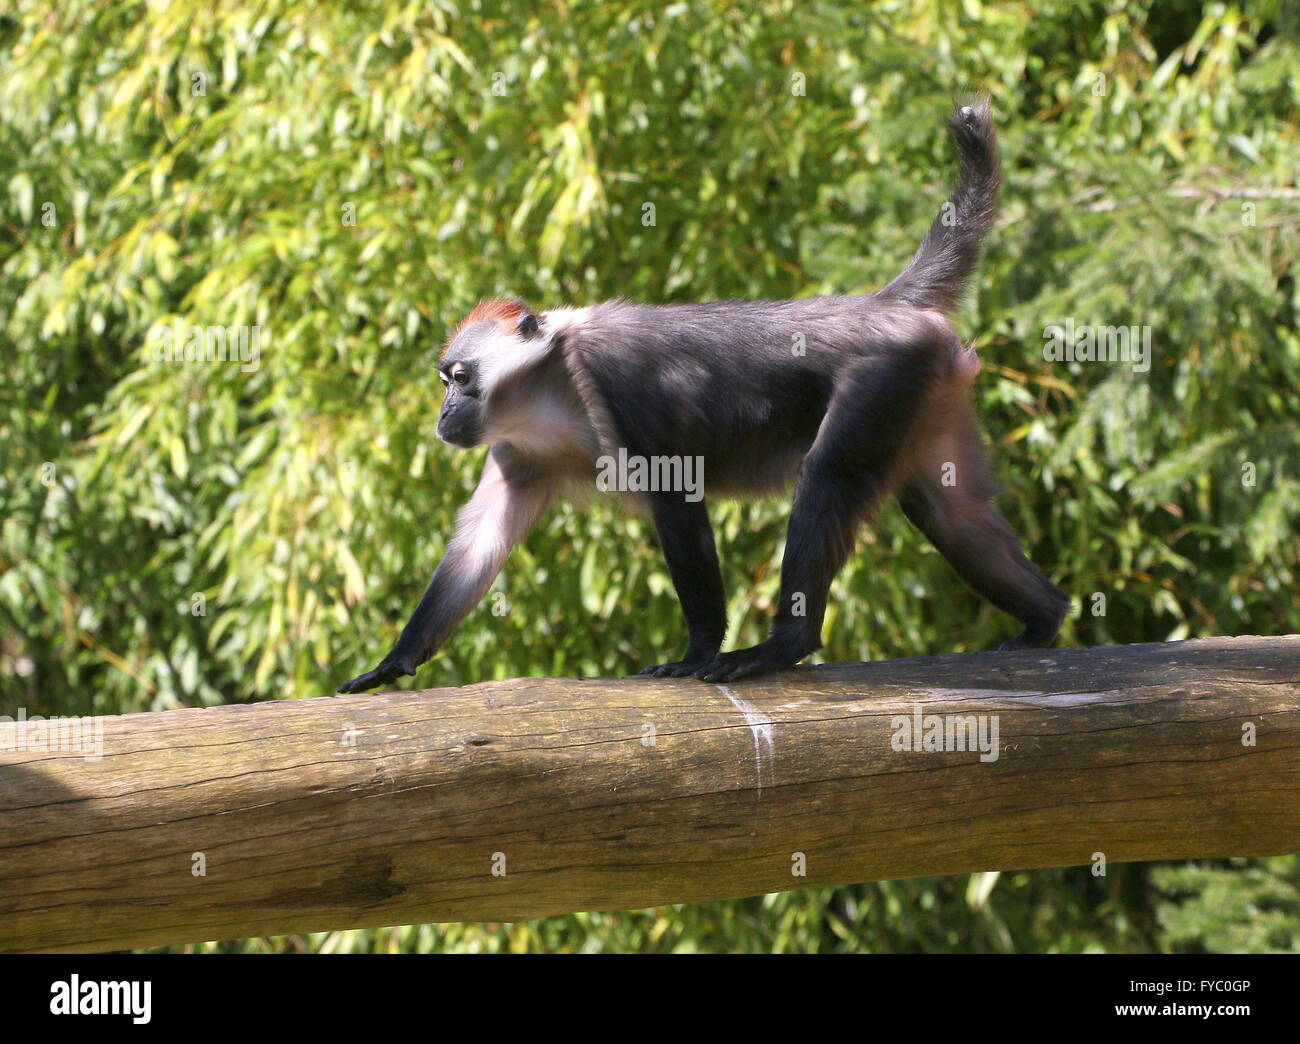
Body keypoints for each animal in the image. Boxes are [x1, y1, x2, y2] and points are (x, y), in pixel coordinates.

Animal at [335, 100, 1066, 691]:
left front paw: (696, 653)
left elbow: (678, 497)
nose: (444, 413)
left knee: (829, 476)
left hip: (884, 377)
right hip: (927, 395)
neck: (551, 387)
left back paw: (781, 646)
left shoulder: (622, 381)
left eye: (458, 378)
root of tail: (881, 306)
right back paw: (1046, 619)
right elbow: (481, 539)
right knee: (953, 511)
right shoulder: (519, 451)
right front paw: (395, 661)